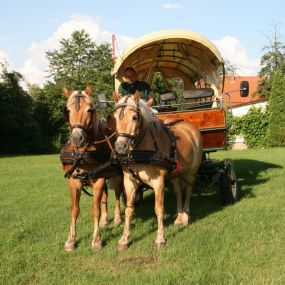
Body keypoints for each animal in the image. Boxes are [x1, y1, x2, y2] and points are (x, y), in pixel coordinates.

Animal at [60, 85, 122, 251]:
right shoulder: (74, 181)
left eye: (89, 110)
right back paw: (105, 221)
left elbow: (96, 210)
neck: (82, 154)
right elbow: (74, 210)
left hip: (118, 175)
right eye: (67, 110)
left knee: (119, 195)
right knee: (106, 196)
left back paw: (118, 218)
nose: (77, 138)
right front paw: (70, 240)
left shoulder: (98, 179)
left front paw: (96, 240)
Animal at [111, 91, 202, 251]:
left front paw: (160, 239)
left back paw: (186, 216)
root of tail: (191, 128)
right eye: (115, 117)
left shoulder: (158, 182)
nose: (121, 146)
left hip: (191, 172)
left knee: (188, 192)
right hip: (175, 175)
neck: (142, 152)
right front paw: (124, 239)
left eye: (134, 117)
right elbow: (129, 209)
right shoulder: (129, 182)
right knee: (179, 193)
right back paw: (179, 217)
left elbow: (159, 209)